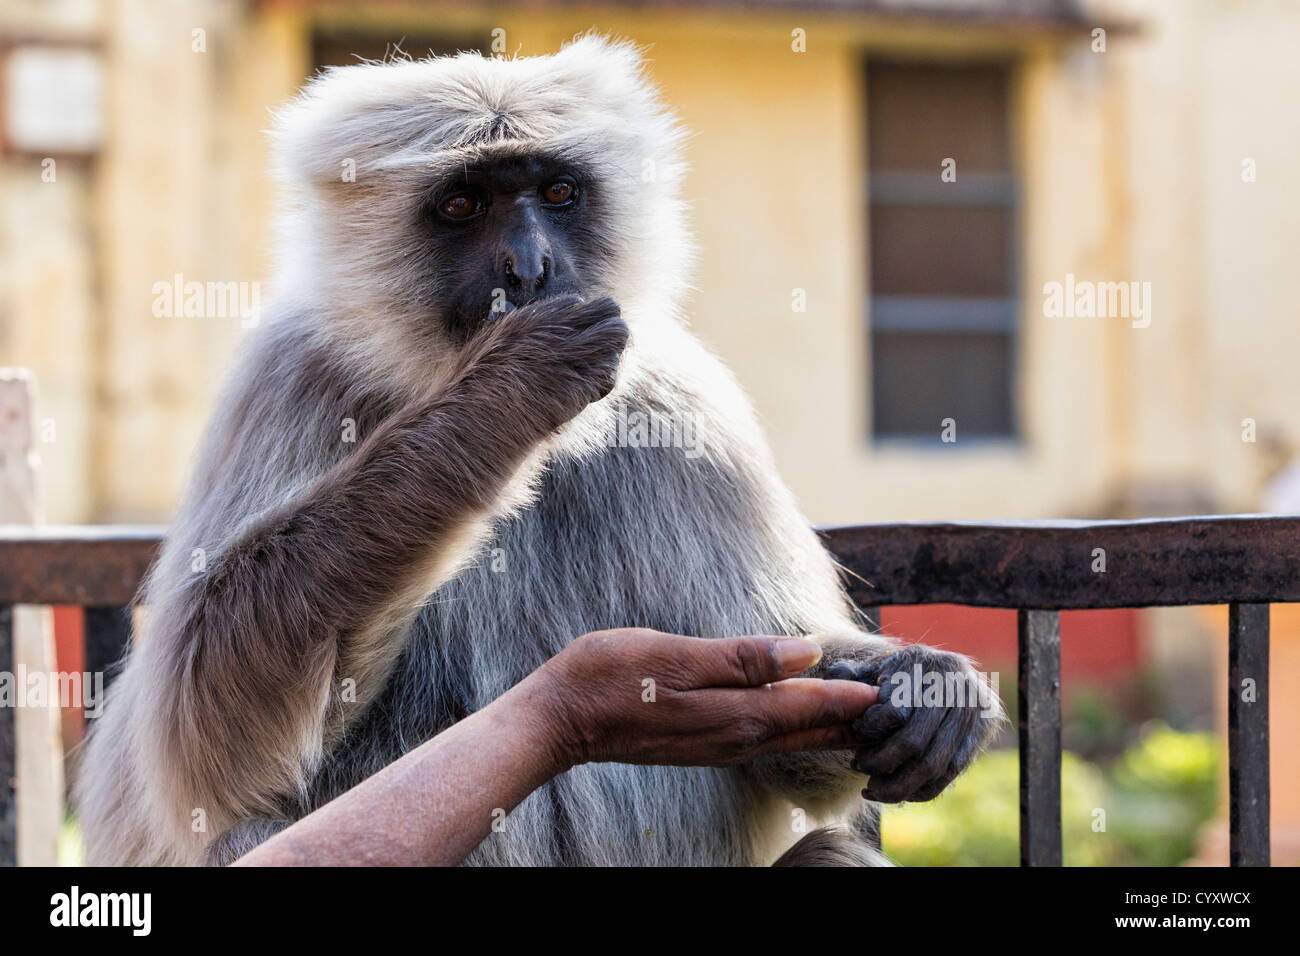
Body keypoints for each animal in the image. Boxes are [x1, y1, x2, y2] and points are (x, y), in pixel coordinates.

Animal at [73, 35, 1003, 868]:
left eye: (557, 192)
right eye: (463, 206)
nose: (530, 268)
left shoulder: (683, 405)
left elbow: (789, 704)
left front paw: (919, 680)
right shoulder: (291, 373)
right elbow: (201, 735)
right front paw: (511, 392)